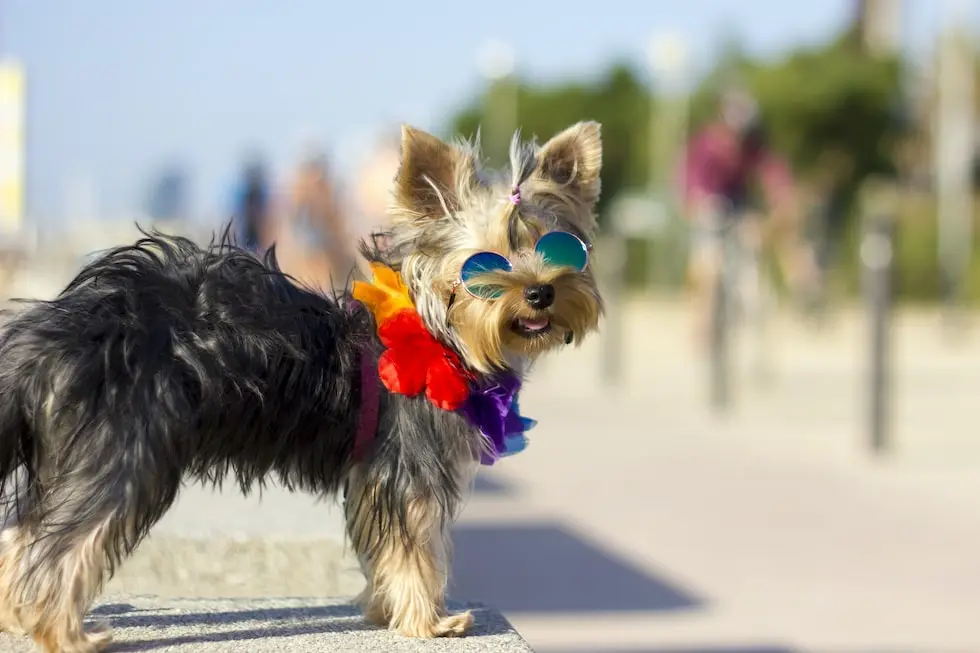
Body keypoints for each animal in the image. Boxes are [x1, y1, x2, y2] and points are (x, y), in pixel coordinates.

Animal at [0, 121, 604, 648]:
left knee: (23, 535)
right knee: (66, 543)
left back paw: (16, 617)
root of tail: (61, 330)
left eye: (558, 249)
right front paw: (429, 622)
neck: (443, 333)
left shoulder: (373, 473)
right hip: (127, 448)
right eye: (485, 264)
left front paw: (385, 609)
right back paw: (64, 634)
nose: (541, 293)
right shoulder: (411, 468)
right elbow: (418, 547)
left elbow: (384, 547)